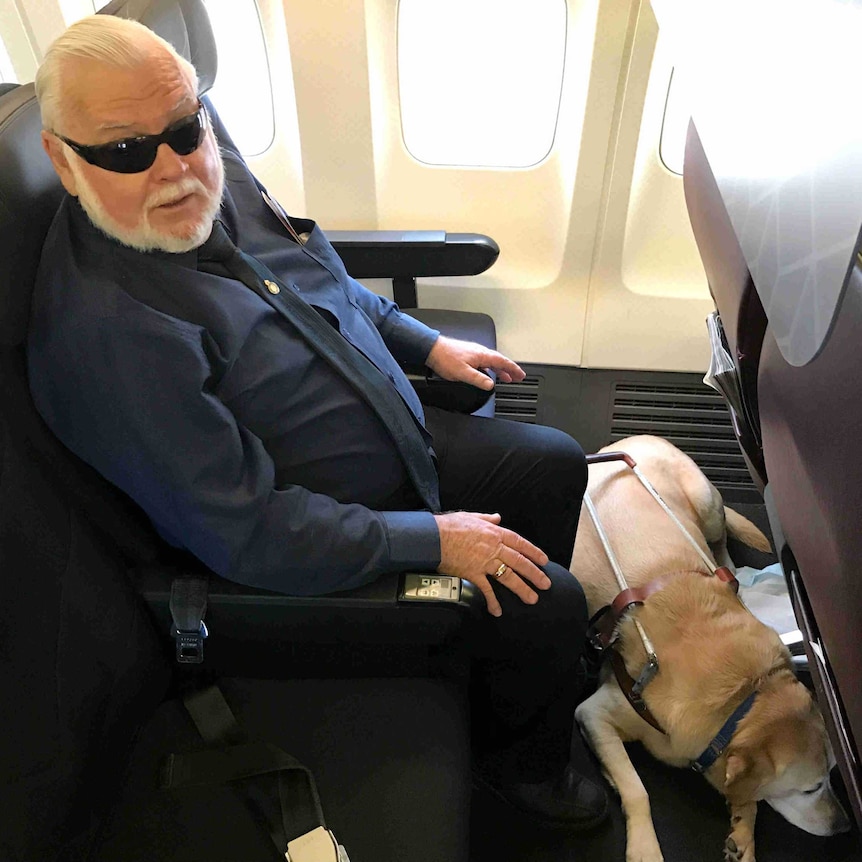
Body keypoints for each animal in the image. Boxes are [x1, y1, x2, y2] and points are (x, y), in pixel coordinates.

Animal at [572, 438, 852, 862]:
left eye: (835, 775)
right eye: (811, 788)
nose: (844, 826)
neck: (743, 697)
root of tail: (623, 443)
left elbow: (746, 794)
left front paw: (743, 832)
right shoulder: (594, 714)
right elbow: (637, 789)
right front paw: (645, 848)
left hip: (708, 507)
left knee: (721, 547)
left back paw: (730, 572)